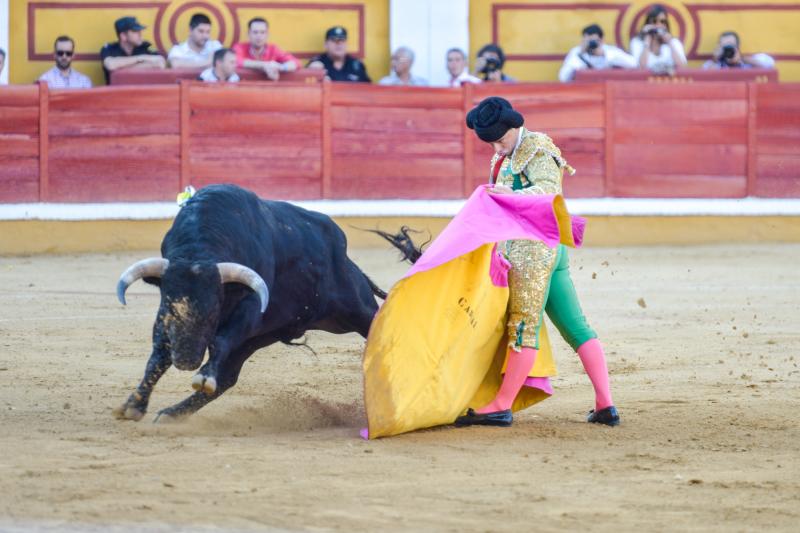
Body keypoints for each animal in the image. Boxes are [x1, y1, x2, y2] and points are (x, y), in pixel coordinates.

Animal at [113, 185, 404, 422]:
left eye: (213, 312)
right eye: (172, 309)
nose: (185, 359)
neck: (200, 249)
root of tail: (344, 256)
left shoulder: (249, 309)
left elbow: (218, 341)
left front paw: (203, 377)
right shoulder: (165, 315)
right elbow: (158, 356)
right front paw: (134, 405)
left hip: (356, 309)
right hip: (261, 336)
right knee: (228, 377)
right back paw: (173, 413)